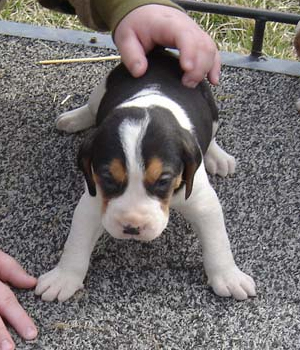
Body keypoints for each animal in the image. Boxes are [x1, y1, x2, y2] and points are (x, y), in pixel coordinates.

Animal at [35, 50, 255, 304]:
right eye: (107, 178)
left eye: (163, 181)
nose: (132, 228)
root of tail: (161, 53)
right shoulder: (92, 200)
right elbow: (76, 242)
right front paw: (63, 277)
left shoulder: (202, 201)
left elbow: (218, 242)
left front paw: (228, 277)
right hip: (102, 89)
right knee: (91, 109)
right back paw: (73, 118)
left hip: (212, 111)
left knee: (211, 137)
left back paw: (218, 157)